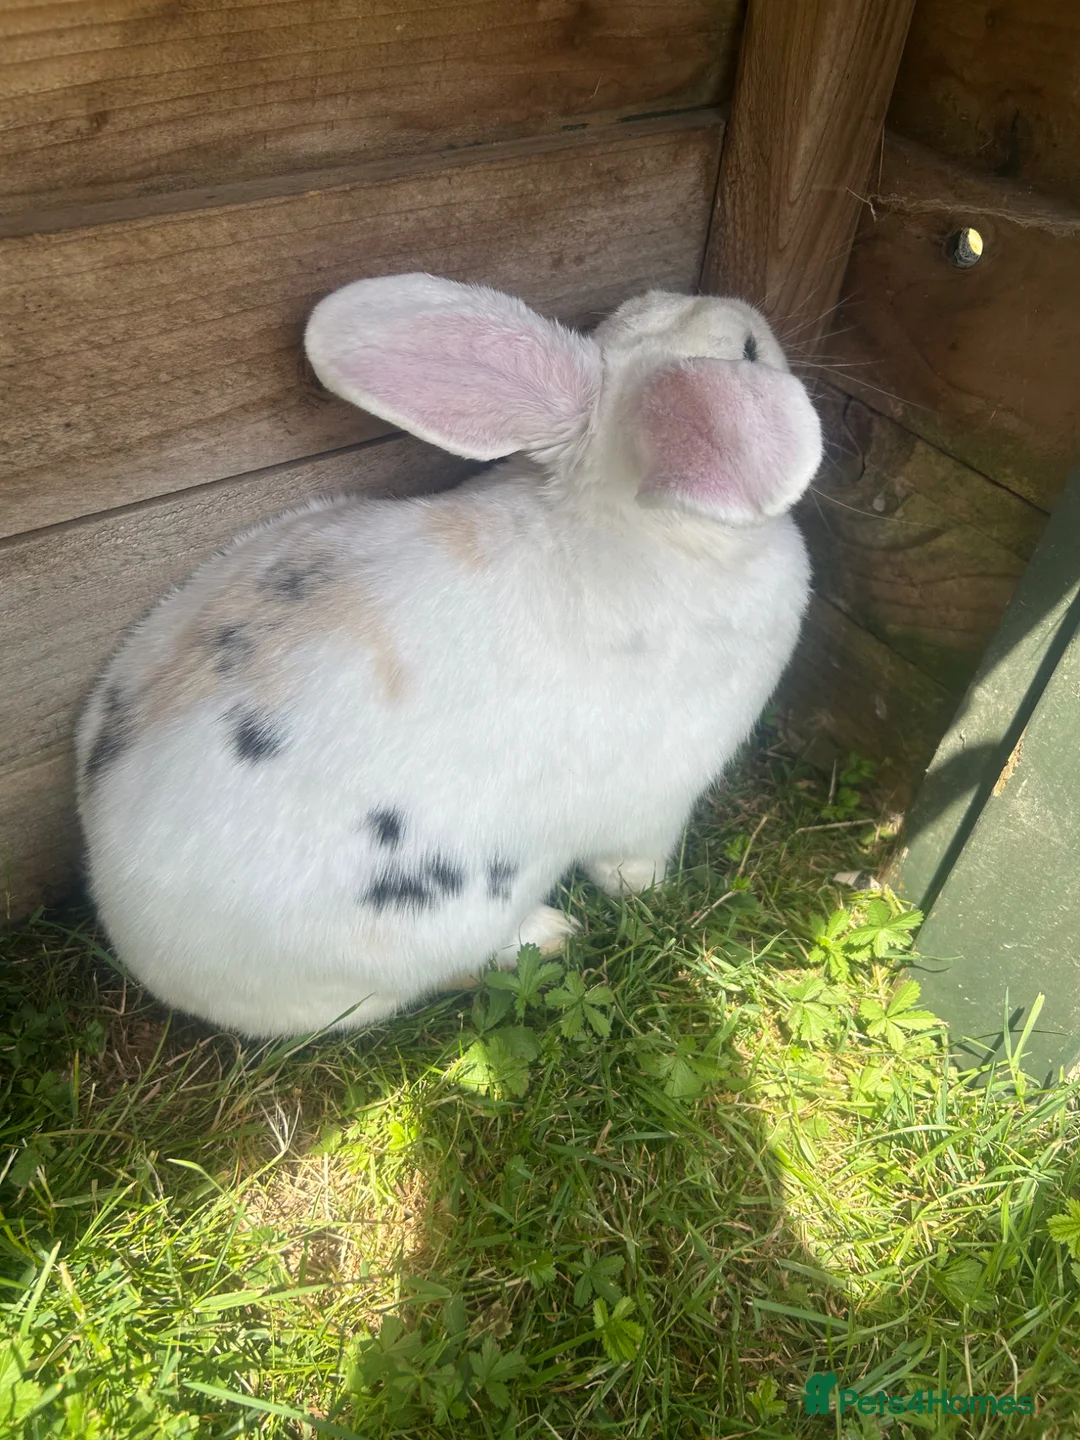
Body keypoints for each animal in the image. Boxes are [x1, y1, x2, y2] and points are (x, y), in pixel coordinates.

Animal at [74, 273, 822, 1038]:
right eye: (749, 350)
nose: (745, 309)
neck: (630, 523)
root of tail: (128, 927)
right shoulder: (658, 801)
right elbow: (629, 869)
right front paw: (648, 892)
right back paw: (548, 932)